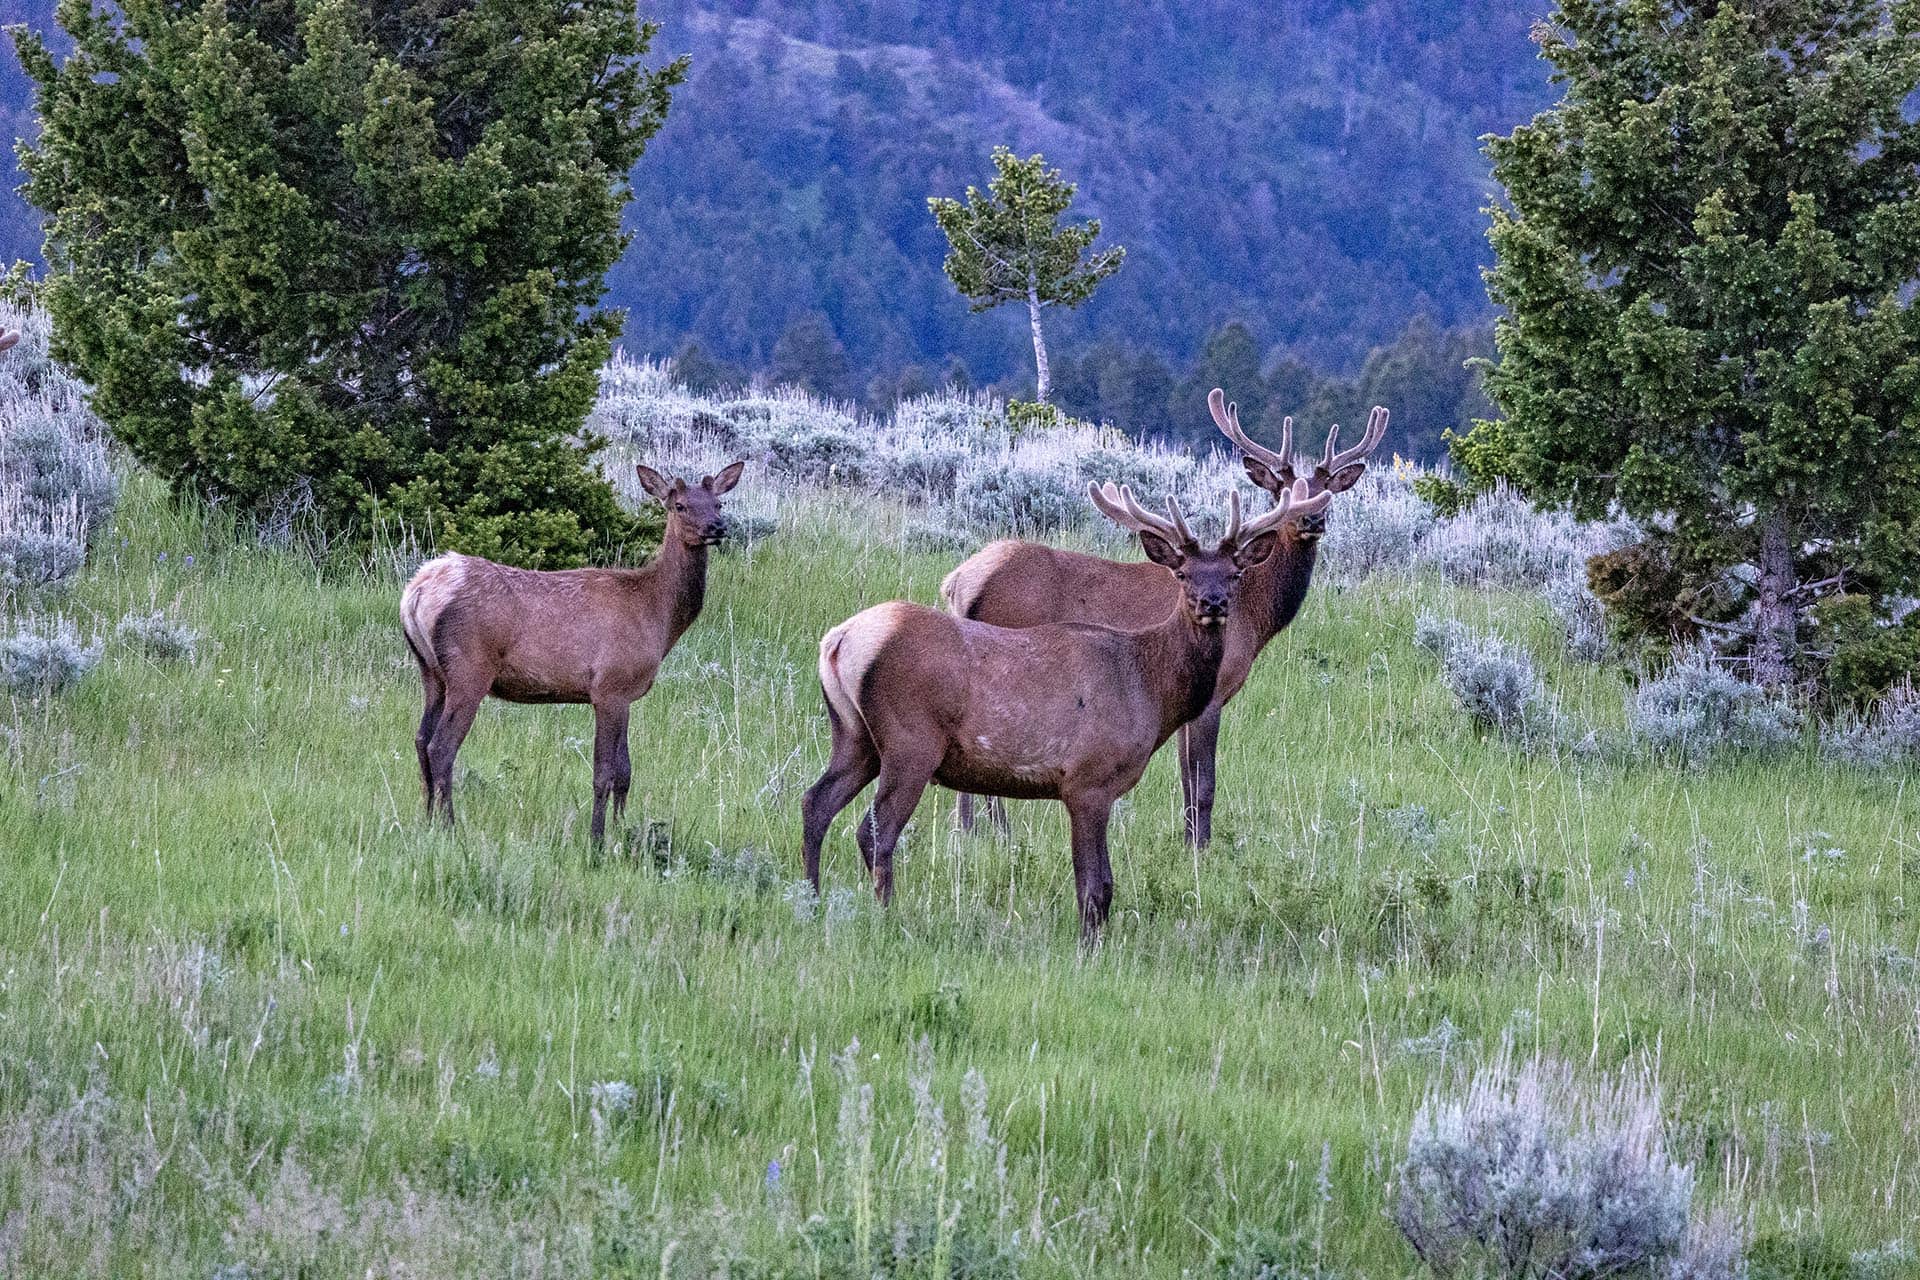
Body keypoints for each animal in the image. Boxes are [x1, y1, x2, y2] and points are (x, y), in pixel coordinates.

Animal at [400, 460, 746, 845]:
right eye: (680, 505)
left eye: (719, 503)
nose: (717, 527)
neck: (657, 615)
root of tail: (417, 591)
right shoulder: (610, 685)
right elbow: (604, 772)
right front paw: (597, 839)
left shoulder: (624, 694)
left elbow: (625, 771)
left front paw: (621, 830)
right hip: (469, 669)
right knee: (441, 747)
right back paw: (449, 827)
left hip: (430, 670)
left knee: (421, 739)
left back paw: (427, 820)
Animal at [801, 478, 1328, 940]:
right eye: (1182, 574)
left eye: (1235, 573)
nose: (1213, 603)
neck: (1148, 687)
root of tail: (839, 640)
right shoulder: (1087, 780)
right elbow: (1095, 885)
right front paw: (1087, 949)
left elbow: (1105, 883)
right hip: (910, 741)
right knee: (875, 831)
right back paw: (887, 915)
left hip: (855, 737)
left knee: (815, 802)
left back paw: (811, 901)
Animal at [942, 390, 1388, 848]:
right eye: (1280, 490)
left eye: (1327, 490)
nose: (1311, 519)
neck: (1255, 616)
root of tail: (960, 582)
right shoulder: (1213, 691)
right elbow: (1203, 778)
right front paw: (1201, 845)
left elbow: (1185, 775)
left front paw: (1188, 837)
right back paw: (991, 832)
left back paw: (973, 831)